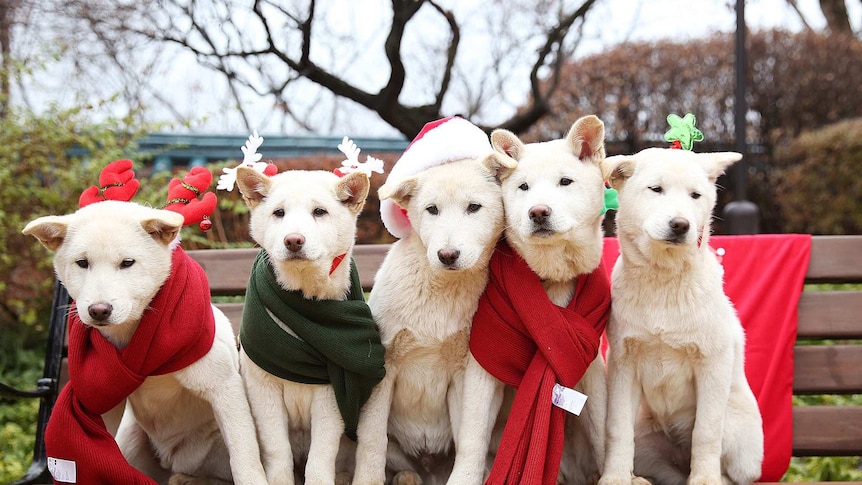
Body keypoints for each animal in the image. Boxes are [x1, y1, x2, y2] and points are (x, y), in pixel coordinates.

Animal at [352, 117, 516, 484]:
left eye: (474, 207)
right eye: (432, 210)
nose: (447, 255)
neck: (442, 289)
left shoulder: (467, 373)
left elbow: (470, 436)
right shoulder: (382, 365)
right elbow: (371, 439)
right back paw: (405, 477)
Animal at [476, 114, 612, 484]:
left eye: (565, 182)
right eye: (523, 187)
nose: (538, 212)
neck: (554, 277)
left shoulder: (591, 367)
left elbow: (602, 433)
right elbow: (471, 441)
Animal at [596, 147, 768, 484]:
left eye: (695, 195)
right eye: (656, 189)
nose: (680, 225)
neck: (664, 280)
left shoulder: (712, 362)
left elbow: (706, 433)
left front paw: (704, 480)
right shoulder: (623, 361)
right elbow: (617, 428)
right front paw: (615, 477)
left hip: (736, 428)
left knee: (730, 470)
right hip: (648, 439)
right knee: (665, 472)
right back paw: (640, 479)